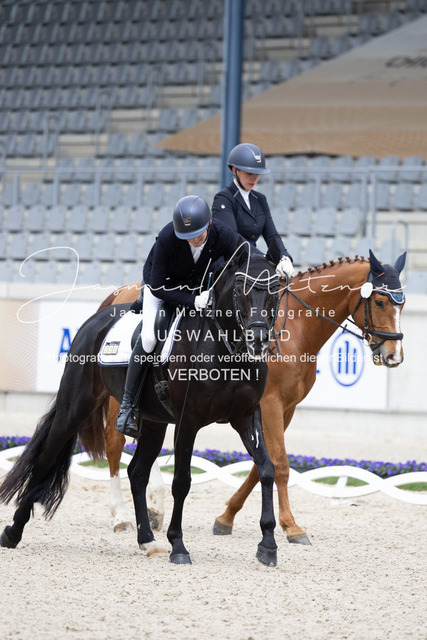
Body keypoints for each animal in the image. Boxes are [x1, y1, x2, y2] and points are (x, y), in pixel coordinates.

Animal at [0, 251, 282, 566]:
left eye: (274, 289)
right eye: (240, 288)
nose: (258, 340)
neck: (225, 347)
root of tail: (96, 318)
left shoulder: (246, 416)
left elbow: (266, 468)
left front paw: (268, 545)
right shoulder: (188, 421)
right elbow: (181, 482)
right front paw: (178, 545)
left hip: (154, 423)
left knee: (136, 472)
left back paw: (147, 540)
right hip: (75, 407)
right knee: (46, 458)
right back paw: (13, 532)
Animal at [96, 250, 407, 544]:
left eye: (402, 304)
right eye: (380, 302)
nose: (394, 355)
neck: (296, 328)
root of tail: (120, 292)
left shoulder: (284, 408)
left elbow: (262, 465)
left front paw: (226, 517)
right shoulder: (270, 404)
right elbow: (281, 464)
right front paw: (291, 526)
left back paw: (154, 509)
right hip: (121, 397)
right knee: (114, 443)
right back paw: (120, 517)